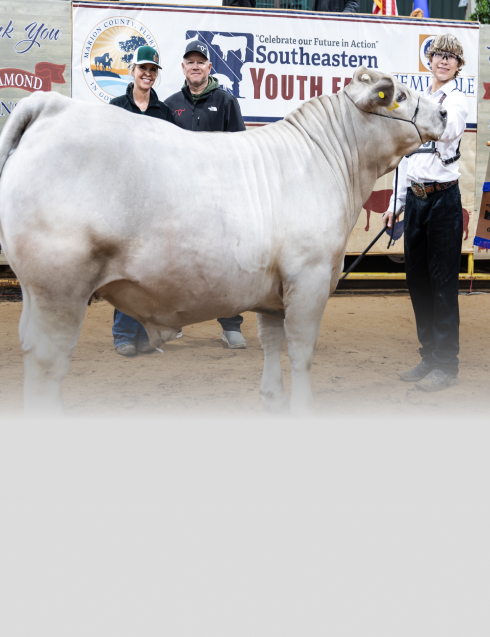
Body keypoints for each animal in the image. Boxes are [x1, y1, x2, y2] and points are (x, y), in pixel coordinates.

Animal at [0, 67, 447, 415]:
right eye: (400, 95)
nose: (444, 111)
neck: (327, 160)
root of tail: (53, 107)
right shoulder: (311, 278)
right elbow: (301, 352)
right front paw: (302, 408)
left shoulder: (274, 292)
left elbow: (271, 343)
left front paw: (273, 399)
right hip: (59, 287)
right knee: (48, 364)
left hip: (38, 292)